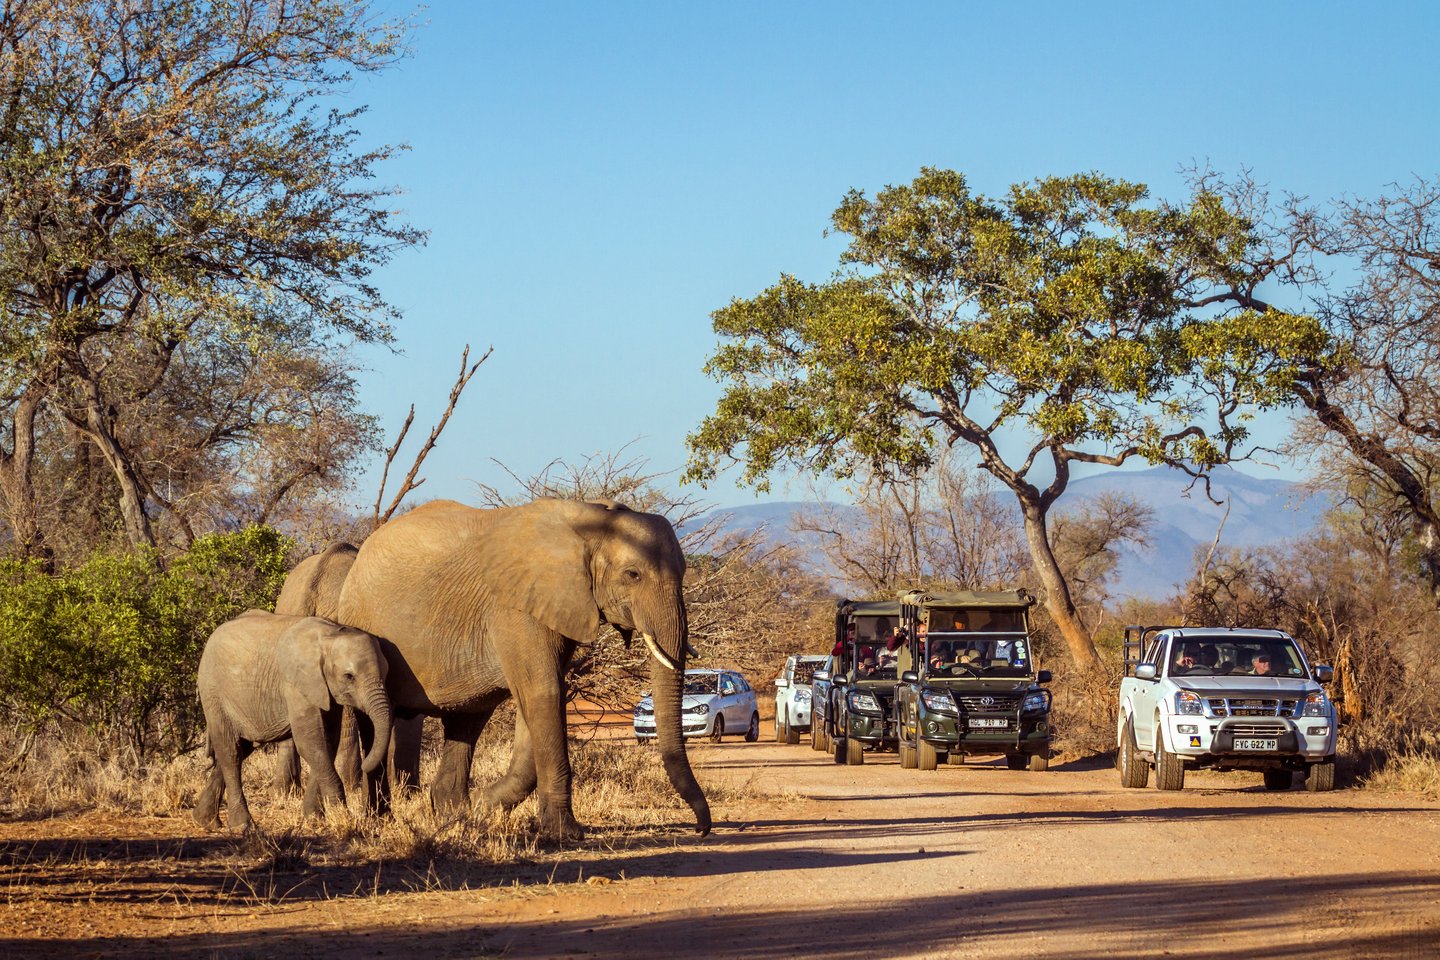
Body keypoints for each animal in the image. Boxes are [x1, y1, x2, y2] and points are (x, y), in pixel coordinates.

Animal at [193, 610, 393, 833]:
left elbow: (327, 742)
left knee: (239, 750)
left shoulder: (324, 690)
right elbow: (310, 743)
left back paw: (205, 821)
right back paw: (242, 826)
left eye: (386, 673)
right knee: (231, 753)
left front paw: (314, 819)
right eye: (349, 676)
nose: (366, 765)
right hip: (213, 693)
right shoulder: (296, 685)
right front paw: (343, 819)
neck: (330, 635)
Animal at [333, 497, 710, 841]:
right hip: (360, 623)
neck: (589, 520)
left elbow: (544, 696)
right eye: (632, 575)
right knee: (375, 723)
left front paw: (483, 808)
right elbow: (543, 691)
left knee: (467, 719)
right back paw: (382, 819)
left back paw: (454, 815)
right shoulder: (515, 609)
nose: (701, 829)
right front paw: (565, 833)